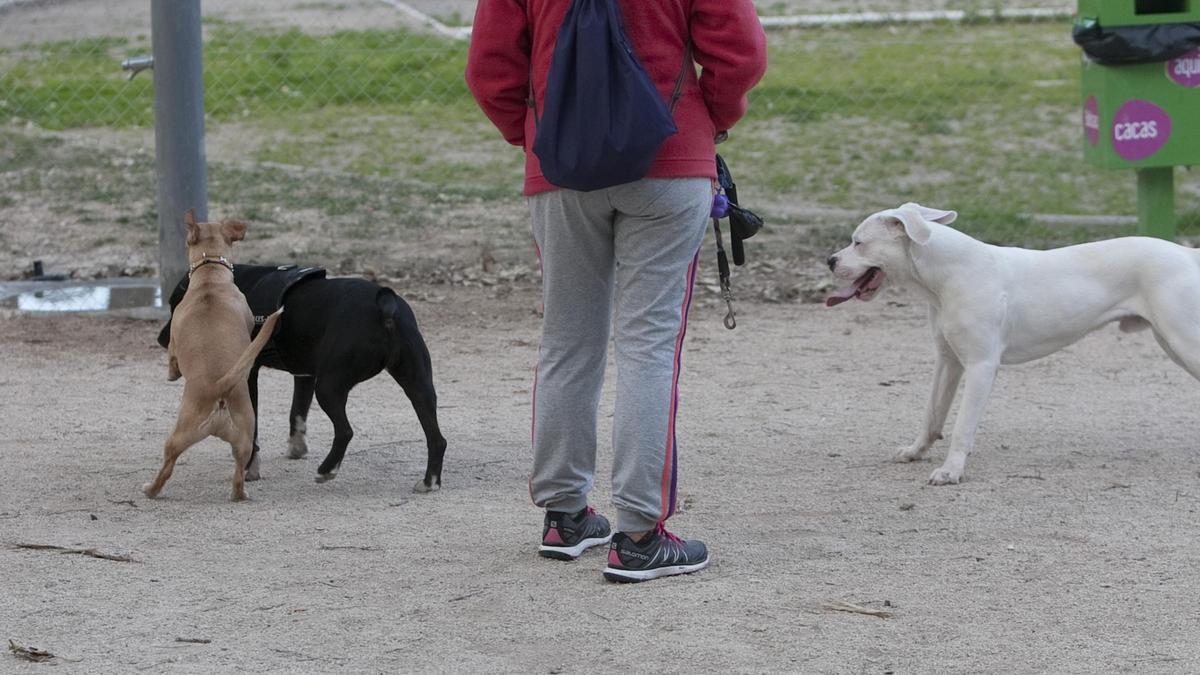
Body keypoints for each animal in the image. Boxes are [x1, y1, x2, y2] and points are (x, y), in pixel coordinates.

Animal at [144, 210, 282, 499]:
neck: (210, 275)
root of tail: (218, 387)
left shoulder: (174, 341)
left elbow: (171, 359)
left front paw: (171, 374)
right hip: (244, 440)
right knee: (239, 475)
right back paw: (239, 495)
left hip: (177, 437)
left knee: (167, 466)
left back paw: (151, 489)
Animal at [157, 263, 444, 487]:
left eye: (174, 307)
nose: (161, 339)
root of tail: (383, 304)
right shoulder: (304, 374)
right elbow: (297, 412)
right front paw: (296, 449)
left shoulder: (247, 377)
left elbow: (254, 427)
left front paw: (250, 468)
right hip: (419, 386)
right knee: (437, 438)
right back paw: (430, 481)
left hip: (329, 387)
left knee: (345, 431)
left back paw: (327, 469)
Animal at [825, 200, 1200, 482]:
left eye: (858, 242)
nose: (830, 260)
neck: (946, 277)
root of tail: (1188, 254)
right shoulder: (948, 361)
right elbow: (932, 414)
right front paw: (916, 452)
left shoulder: (980, 366)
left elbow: (962, 425)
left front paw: (950, 471)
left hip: (1184, 343)